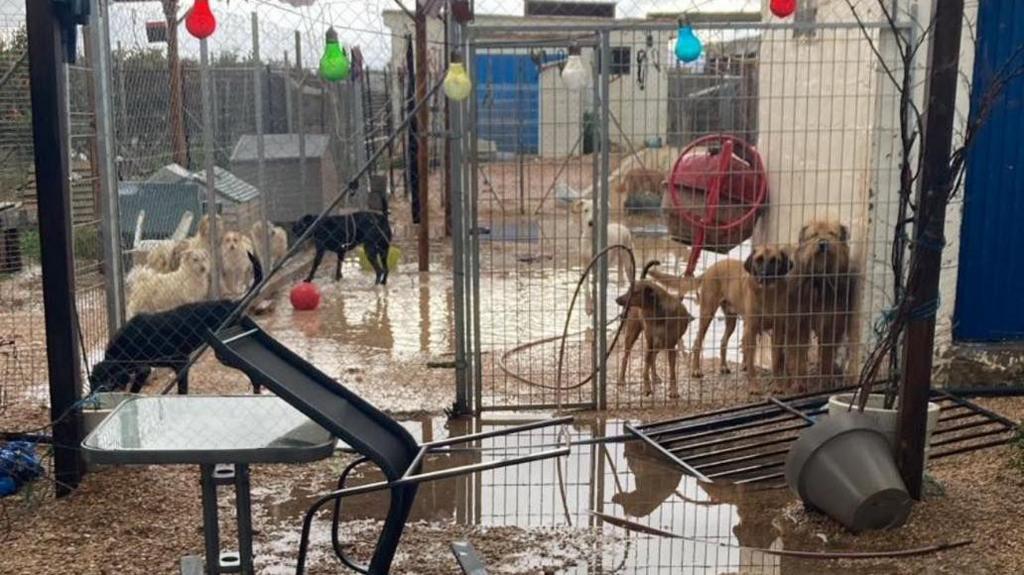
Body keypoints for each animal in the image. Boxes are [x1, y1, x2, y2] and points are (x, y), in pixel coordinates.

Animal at [89, 251, 264, 392]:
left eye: (102, 382)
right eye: (91, 382)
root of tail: (233, 303)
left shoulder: (180, 363)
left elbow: (181, 390)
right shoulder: (144, 369)